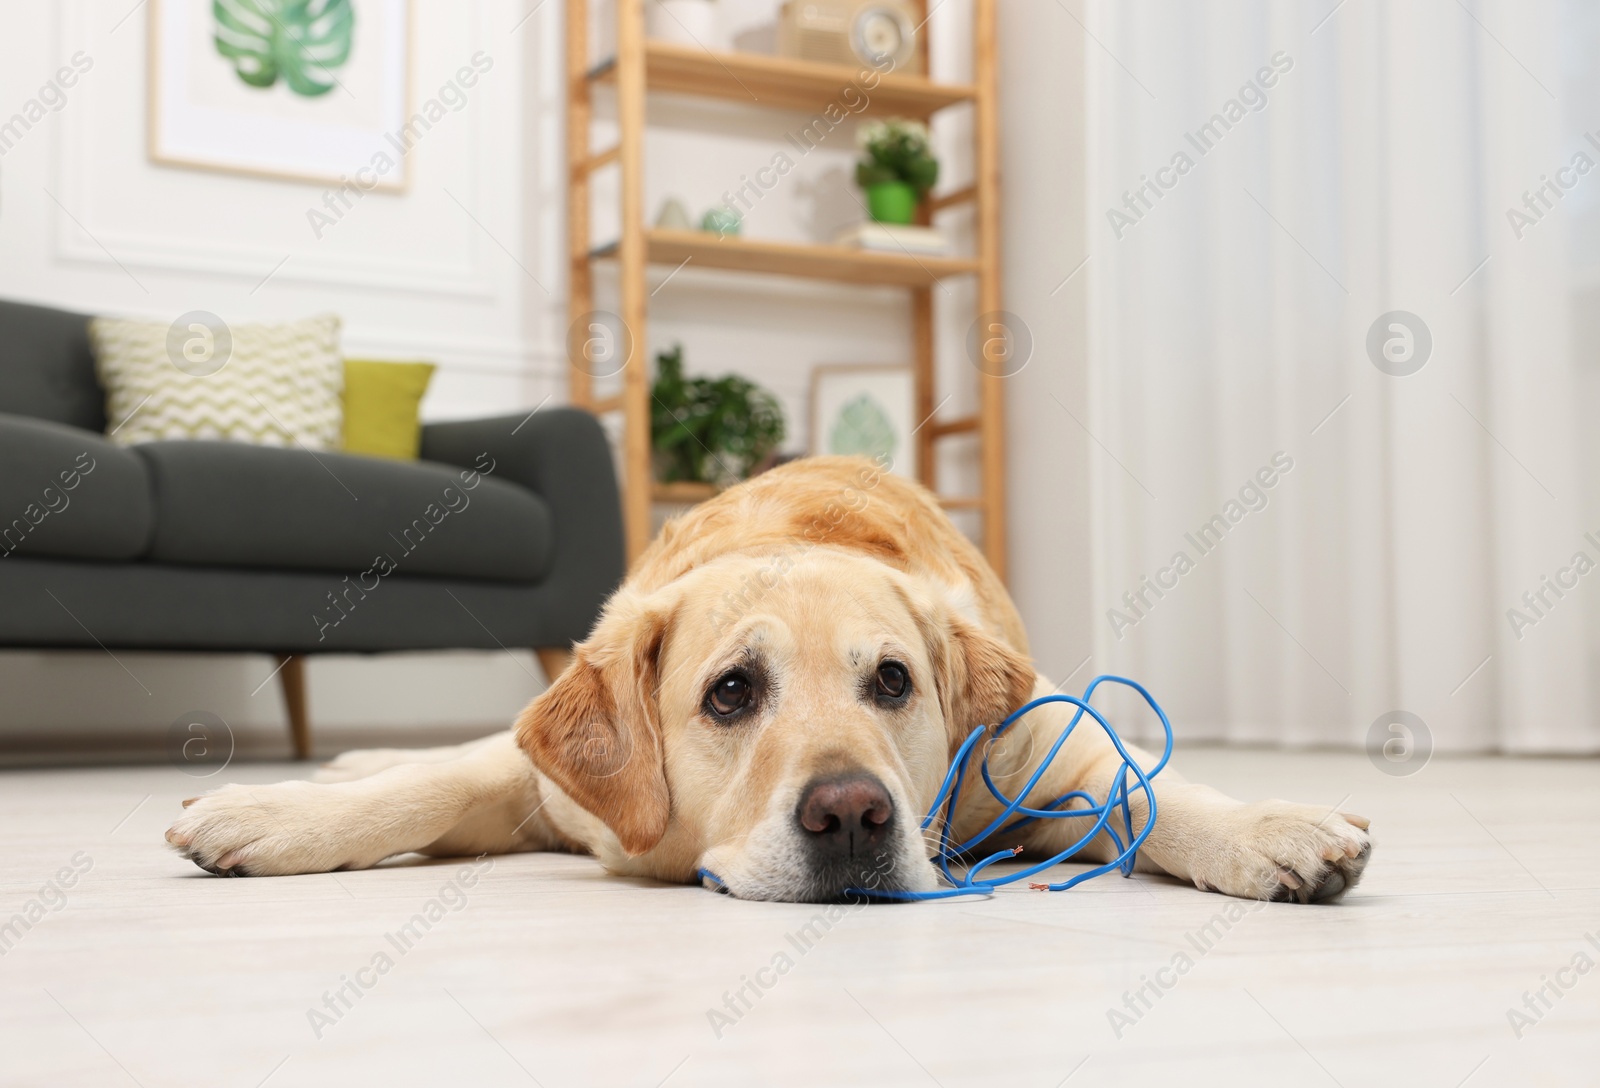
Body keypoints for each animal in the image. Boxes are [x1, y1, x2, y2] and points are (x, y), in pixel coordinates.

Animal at [165, 457, 1376, 902]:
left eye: (893, 681)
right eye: (731, 694)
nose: (850, 816)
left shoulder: (1041, 746)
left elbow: (1150, 786)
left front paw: (1269, 826)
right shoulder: (553, 783)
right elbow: (428, 785)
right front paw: (270, 813)